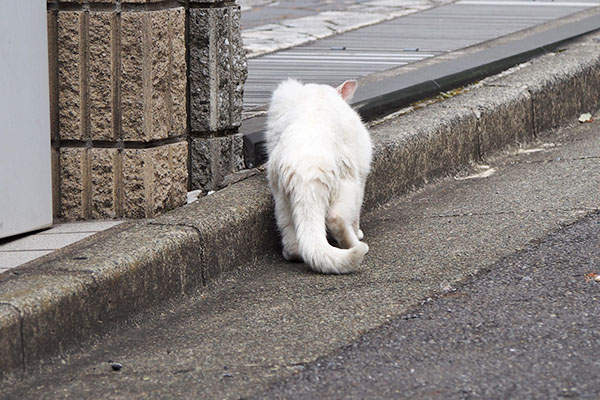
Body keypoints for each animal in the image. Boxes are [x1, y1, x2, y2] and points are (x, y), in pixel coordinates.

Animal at [266, 79, 370, 276]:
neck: (318, 95)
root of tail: (305, 170)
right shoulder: (361, 176)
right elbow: (356, 215)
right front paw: (359, 231)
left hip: (282, 200)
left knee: (293, 244)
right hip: (347, 183)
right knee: (336, 218)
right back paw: (356, 244)